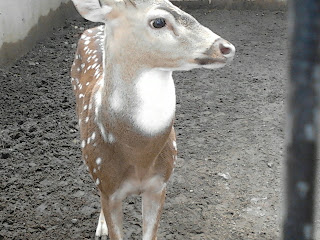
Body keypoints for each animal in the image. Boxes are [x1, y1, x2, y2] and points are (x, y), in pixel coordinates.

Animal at [70, 0, 235, 238]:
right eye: (158, 21)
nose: (227, 47)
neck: (139, 154)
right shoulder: (107, 184)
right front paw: (105, 227)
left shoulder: (160, 184)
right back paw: (100, 228)